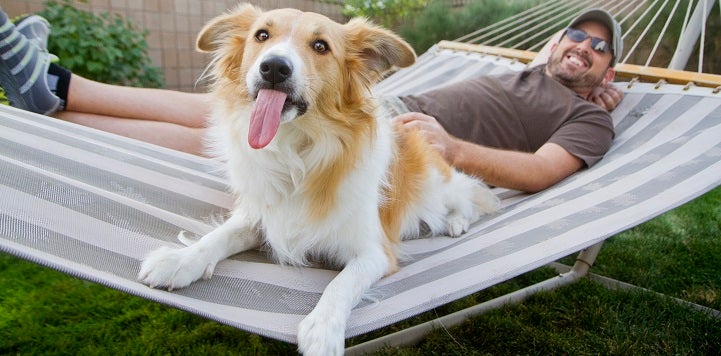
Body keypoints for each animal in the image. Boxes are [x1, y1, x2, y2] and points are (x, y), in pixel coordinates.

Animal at [138, 4, 498, 354]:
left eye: (321, 46)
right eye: (261, 35)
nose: (274, 67)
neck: (297, 153)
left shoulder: (374, 252)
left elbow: (341, 283)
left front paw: (322, 329)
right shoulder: (262, 216)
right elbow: (219, 236)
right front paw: (180, 260)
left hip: (438, 189)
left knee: (473, 198)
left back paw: (456, 222)